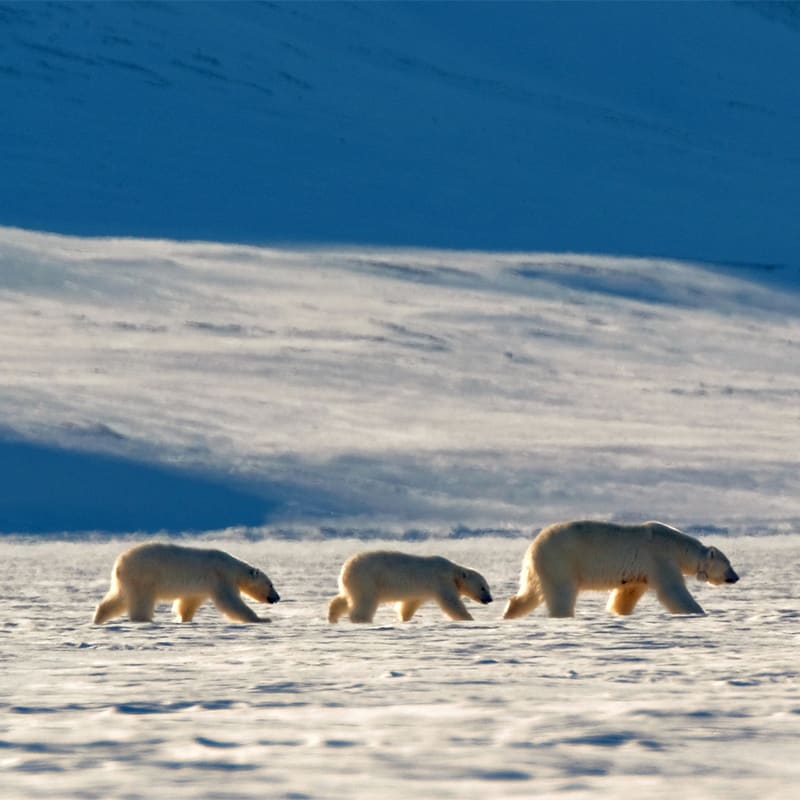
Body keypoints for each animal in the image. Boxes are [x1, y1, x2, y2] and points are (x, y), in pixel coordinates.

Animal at [93, 542, 280, 624]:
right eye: (271, 584)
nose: (277, 597)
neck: (233, 567)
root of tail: (118, 564)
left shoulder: (201, 586)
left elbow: (189, 602)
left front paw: (185, 619)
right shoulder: (221, 577)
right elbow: (231, 602)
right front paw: (261, 619)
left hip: (128, 581)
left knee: (118, 599)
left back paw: (98, 618)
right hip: (143, 577)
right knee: (141, 601)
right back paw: (143, 619)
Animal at [327, 550, 493, 623]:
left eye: (488, 586)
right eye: (483, 587)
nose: (490, 599)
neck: (453, 573)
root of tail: (346, 569)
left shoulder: (420, 590)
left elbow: (409, 604)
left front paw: (404, 619)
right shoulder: (442, 582)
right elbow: (452, 604)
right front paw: (469, 618)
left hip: (355, 583)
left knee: (345, 599)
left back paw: (332, 616)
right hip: (367, 579)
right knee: (364, 601)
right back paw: (362, 620)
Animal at [502, 520, 739, 619]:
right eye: (728, 564)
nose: (735, 577)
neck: (678, 546)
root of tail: (533, 547)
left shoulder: (639, 572)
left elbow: (627, 594)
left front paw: (618, 612)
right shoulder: (660, 559)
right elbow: (673, 591)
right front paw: (697, 611)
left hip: (541, 567)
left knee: (530, 593)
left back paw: (509, 613)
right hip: (561, 561)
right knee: (561, 593)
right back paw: (563, 615)